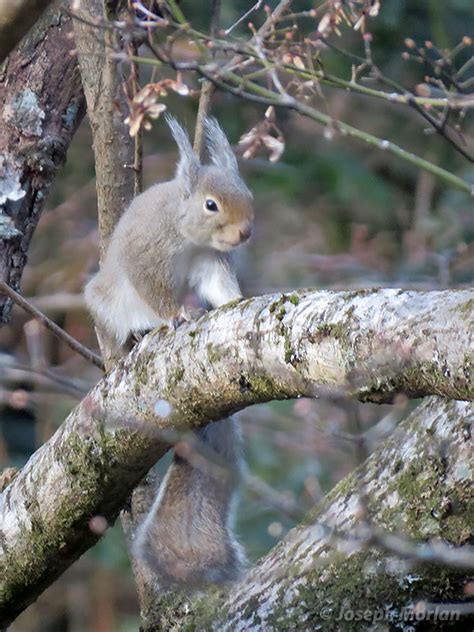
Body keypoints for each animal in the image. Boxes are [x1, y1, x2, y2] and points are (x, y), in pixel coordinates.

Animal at [85, 116, 256, 592]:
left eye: (247, 194)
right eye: (211, 205)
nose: (245, 233)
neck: (187, 236)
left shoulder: (211, 264)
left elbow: (222, 287)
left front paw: (234, 302)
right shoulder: (147, 259)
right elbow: (155, 293)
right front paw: (175, 315)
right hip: (106, 304)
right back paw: (134, 339)